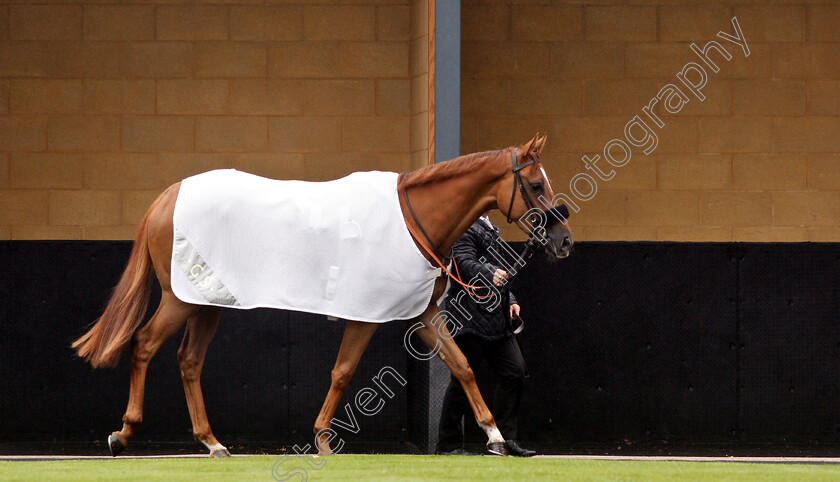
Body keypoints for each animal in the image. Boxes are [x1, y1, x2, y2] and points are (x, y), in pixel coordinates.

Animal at [72, 135, 572, 456]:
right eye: (535, 185)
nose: (564, 240)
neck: (414, 219)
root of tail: (168, 196)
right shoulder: (366, 315)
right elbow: (343, 372)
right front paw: (324, 441)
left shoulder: (425, 316)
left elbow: (463, 366)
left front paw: (495, 436)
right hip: (180, 300)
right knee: (143, 345)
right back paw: (123, 434)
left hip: (206, 303)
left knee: (189, 361)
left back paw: (212, 443)